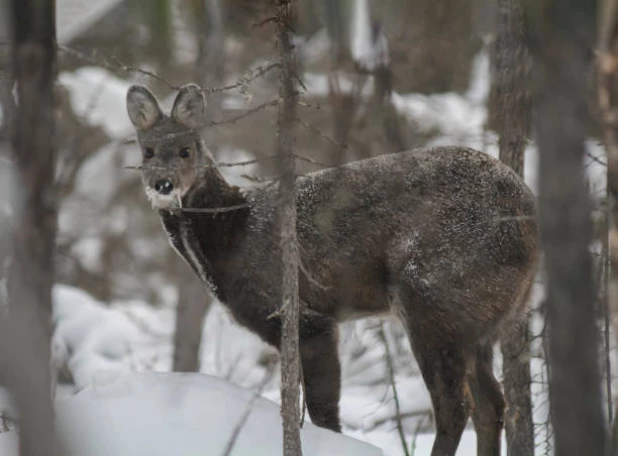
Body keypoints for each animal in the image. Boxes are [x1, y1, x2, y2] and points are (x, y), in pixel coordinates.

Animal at [125, 83, 536, 454]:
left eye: (186, 150)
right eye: (147, 151)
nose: (163, 184)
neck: (233, 234)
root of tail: (528, 216)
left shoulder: (301, 315)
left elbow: (324, 413)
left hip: (435, 297)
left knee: (456, 405)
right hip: (479, 321)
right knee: (491, 404)